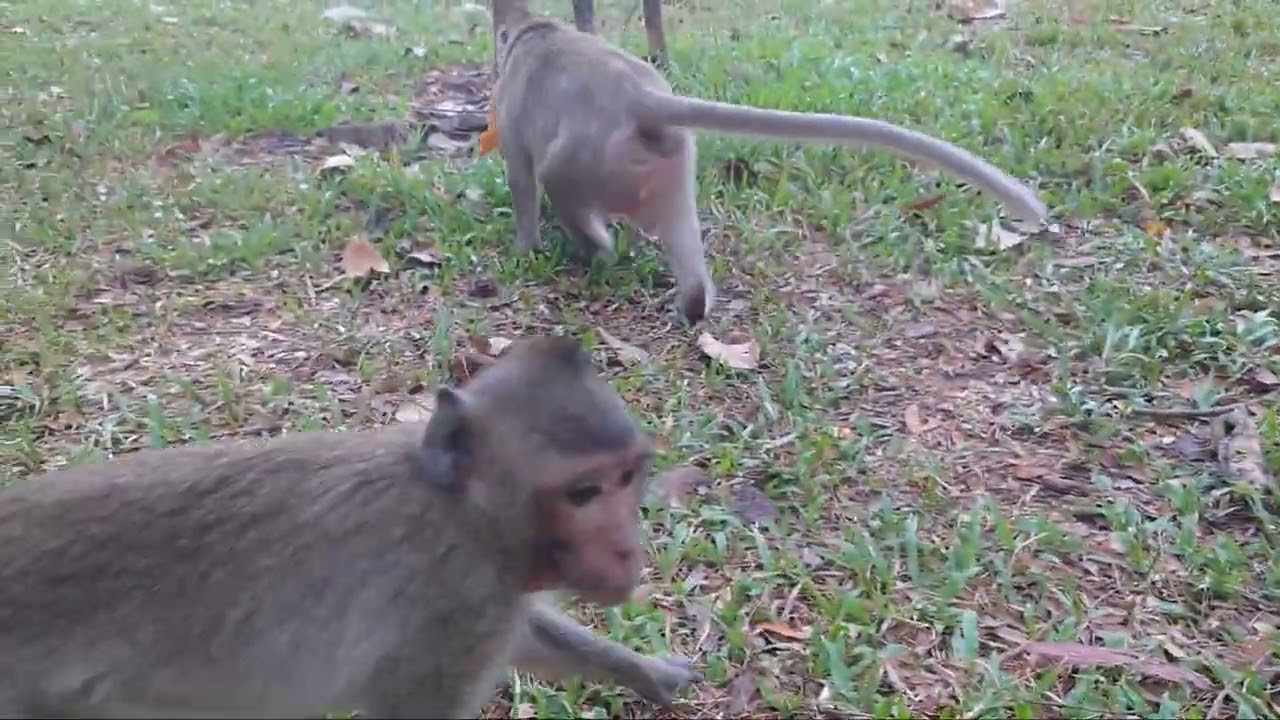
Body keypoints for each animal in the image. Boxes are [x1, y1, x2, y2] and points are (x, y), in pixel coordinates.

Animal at [0, 336, 699, 718]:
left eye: (628, 477)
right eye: (583, 493)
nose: (625, 550)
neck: (462, 509)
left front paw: (647, 673)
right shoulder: (456, 606)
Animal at [487, 0, 1048, 324]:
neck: (537, 32)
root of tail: (643, 103)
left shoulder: (511, 120)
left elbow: (520, 181)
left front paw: (524, 248)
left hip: (586, 159)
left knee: (557, 182)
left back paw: (596, 252)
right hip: (671, 163)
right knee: (678, 229)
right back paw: (690, 303)